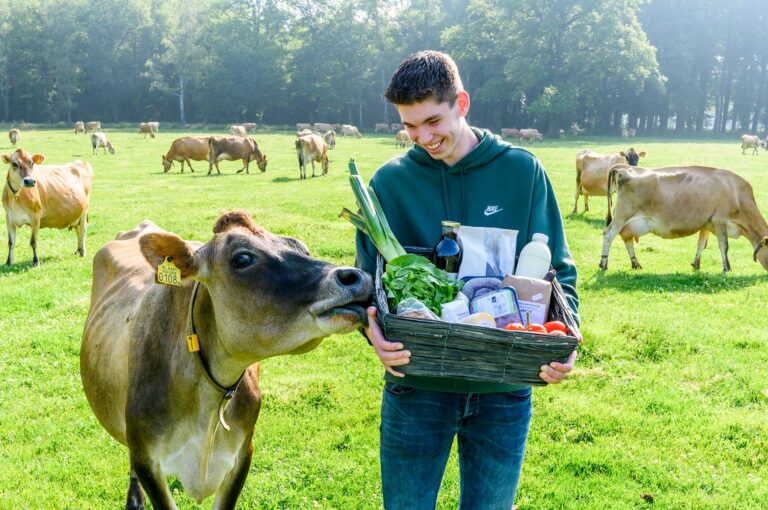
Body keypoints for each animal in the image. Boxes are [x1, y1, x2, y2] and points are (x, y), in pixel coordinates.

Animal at [600, 165, 768, 272]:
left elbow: (701, 244)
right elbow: (724, 246)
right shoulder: (719, 221)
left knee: (627, 239)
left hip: (629, 222)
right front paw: (727, 268)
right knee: (608, 234)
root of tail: (622, 169)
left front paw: (696, 264)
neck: (737, 194)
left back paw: (636, 264)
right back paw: (603, 264)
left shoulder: (707, 224)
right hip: (622, 215)